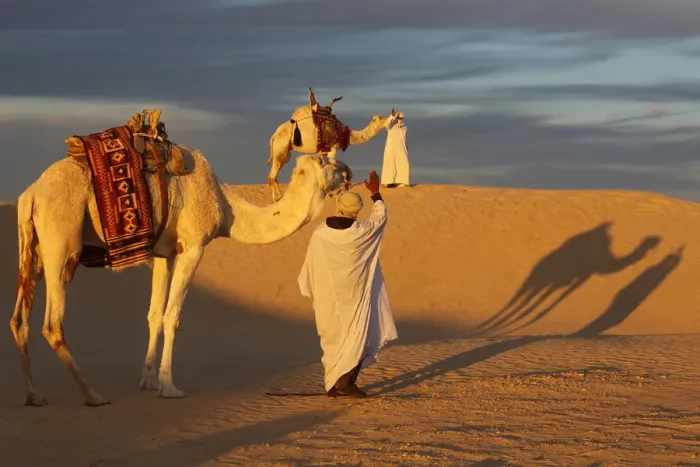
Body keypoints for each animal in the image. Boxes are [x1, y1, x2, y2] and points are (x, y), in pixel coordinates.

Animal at [9, 140, 352, 406]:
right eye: (328, 162)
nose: (349, 172)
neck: (225, 205)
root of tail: (31, 193)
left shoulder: (165, 253)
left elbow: (154, 313)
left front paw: (148, 379)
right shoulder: (194, 246)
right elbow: (172, 315)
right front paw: (169, 387)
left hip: (31, 247)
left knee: (18, 319)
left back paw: (34, 395)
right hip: (61, 243)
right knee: (52, 324)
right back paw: (92, 394)